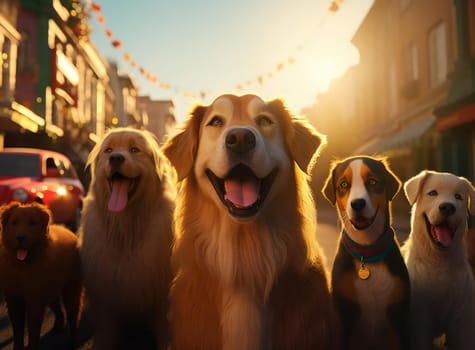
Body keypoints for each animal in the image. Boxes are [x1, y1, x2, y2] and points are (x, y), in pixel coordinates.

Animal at [0, 202, 82, 350]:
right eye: (14, 222)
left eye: (32, 223)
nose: (20, 237)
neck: (23, 268)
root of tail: (70, 232)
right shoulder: (13, 299)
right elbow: (17, 329)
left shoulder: (35, 300)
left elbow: (33, 330)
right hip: (51, 290)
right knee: (58, 309)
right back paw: (58, 327)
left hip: (71, 288)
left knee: (73, 315)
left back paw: (73, 341)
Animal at [78, 128, 175, 350]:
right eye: (108, 150)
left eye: (134, 150)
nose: (115, 158)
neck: (127, 231)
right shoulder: (106, 298)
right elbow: (106, 332)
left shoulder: (161, 295)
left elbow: (166, 331)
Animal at [402, 171, 475, 348]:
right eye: (433, 193)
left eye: (458, 197)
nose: (447, 207)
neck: (439, 262)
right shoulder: (420, 321)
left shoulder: (462, 323)